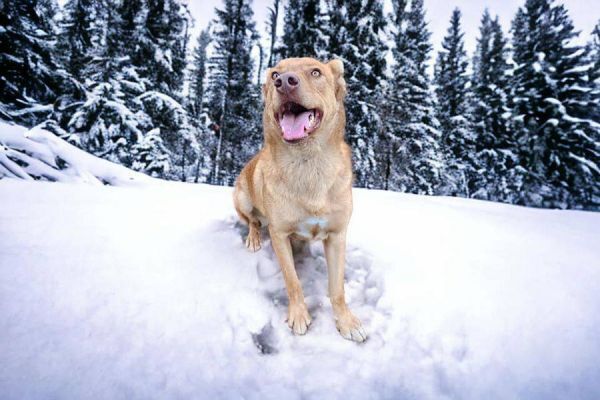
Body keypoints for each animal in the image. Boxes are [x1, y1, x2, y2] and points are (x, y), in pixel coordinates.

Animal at [233, 57, 366, 342]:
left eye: (316, 72)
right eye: (275, 74)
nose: (284, 82)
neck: (307, 163)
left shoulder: (337, 235)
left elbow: (337, 288)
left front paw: (346, 321)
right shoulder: (280, 234)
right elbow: (293, 281)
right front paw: (299, 315)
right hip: (241, 197)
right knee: (252, 222)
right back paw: (254, 237)